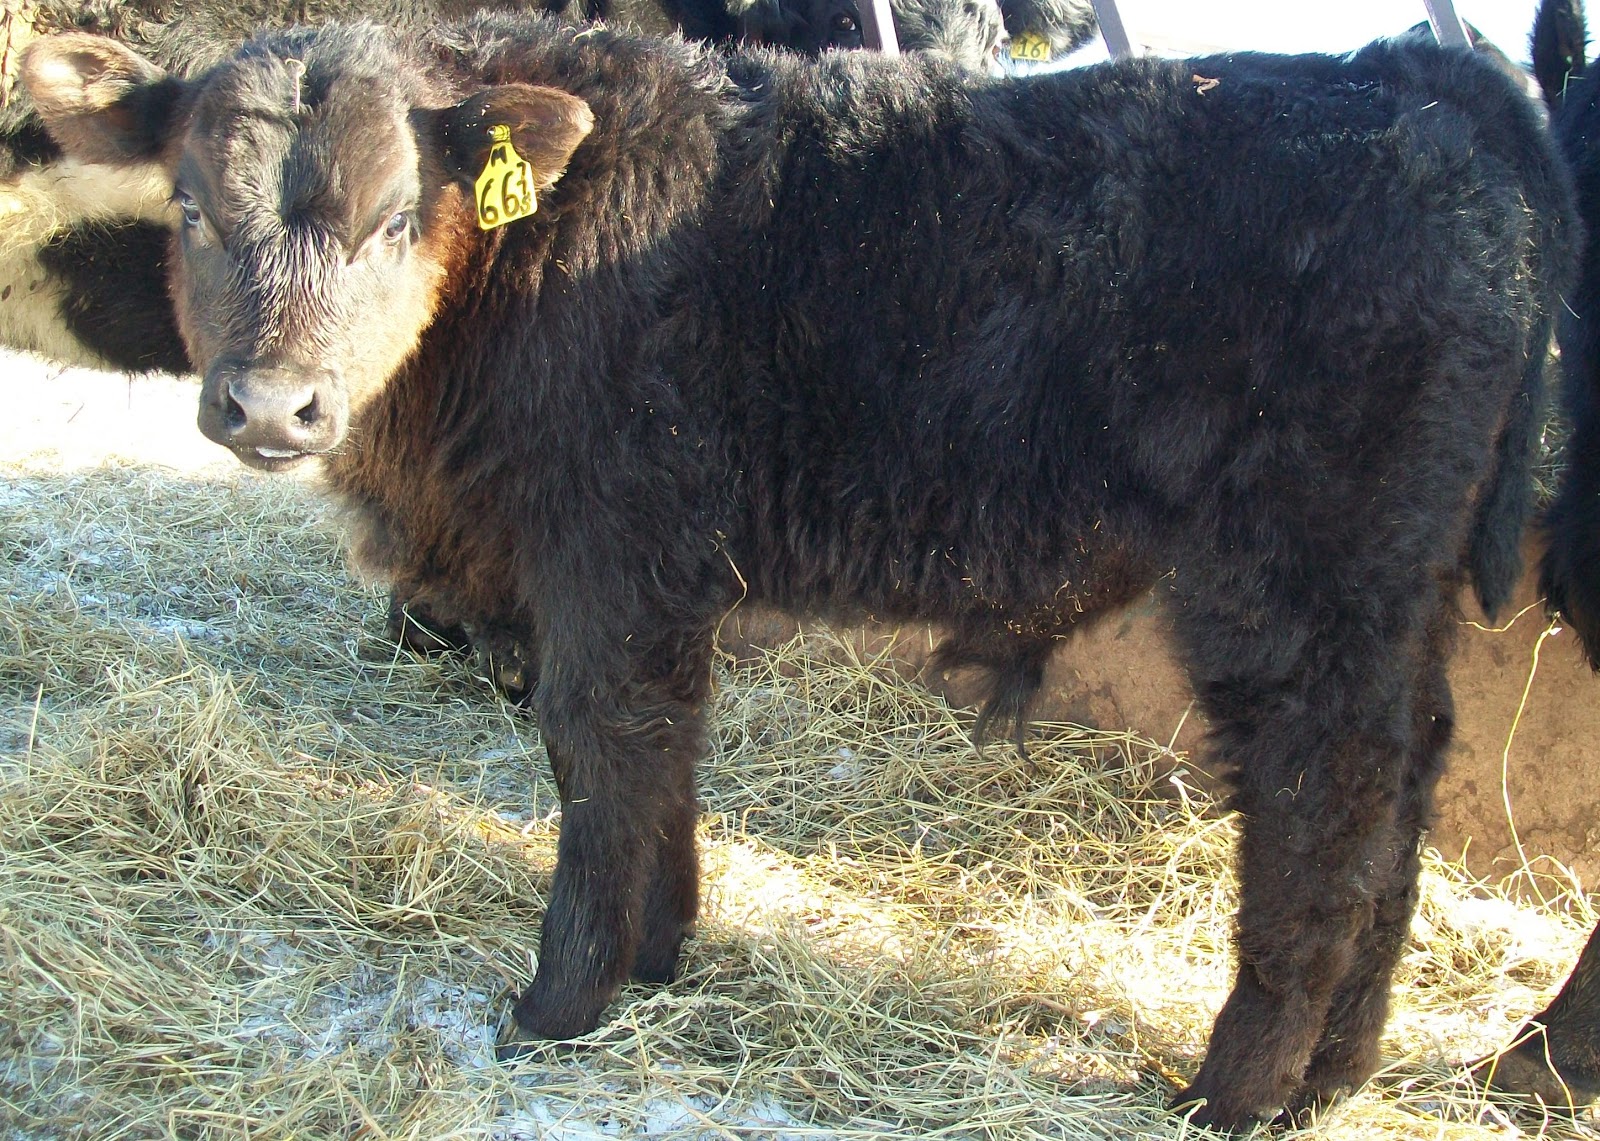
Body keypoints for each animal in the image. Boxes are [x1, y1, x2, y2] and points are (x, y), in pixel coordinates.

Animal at [19, 14, 1573, 1130]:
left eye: (398, 215)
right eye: (191, 210)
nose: (271, 406)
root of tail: (1403, 77)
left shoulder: (606, 547)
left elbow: (600, 745)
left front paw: (558, 1001)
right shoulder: (656, 569)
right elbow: (661, 750)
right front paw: (660, 950)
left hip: (1293, 573)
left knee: (1324, 803)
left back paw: (1235, 1093)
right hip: (1395, 584)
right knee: (1406, 780)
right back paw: (1334, 1075)